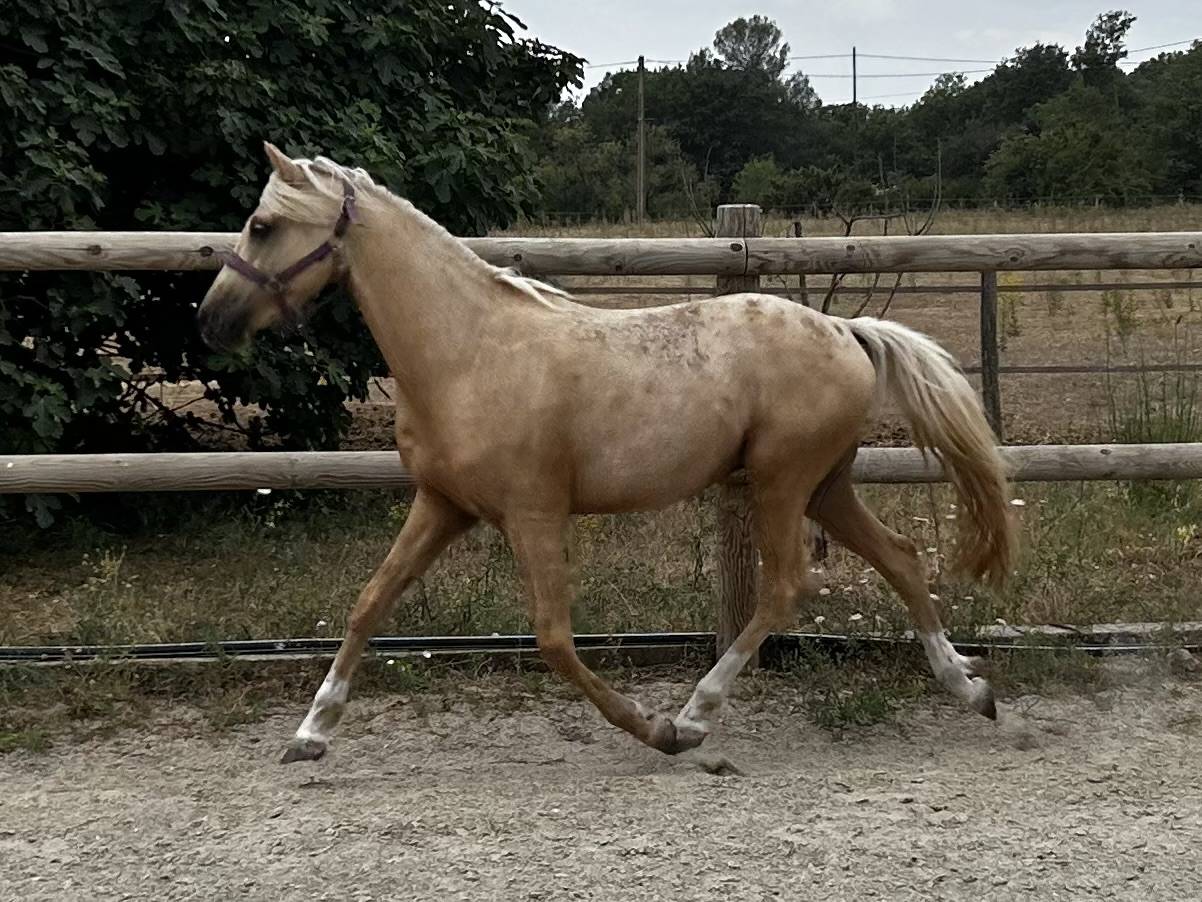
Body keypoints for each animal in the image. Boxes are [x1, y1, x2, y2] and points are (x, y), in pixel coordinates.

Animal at [198, 143, 1016, 766]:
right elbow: (370, 601)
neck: (470, 353)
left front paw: (654, 731)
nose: (212, 320)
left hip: (782, 482)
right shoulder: (444, 505)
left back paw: (695, 714)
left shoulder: (533, 514)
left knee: (787, 585)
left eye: (263, 225)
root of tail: (847, 331)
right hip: (823, 485)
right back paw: (971, 689)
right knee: (902, 557)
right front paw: (311, 732)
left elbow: (555, 640)